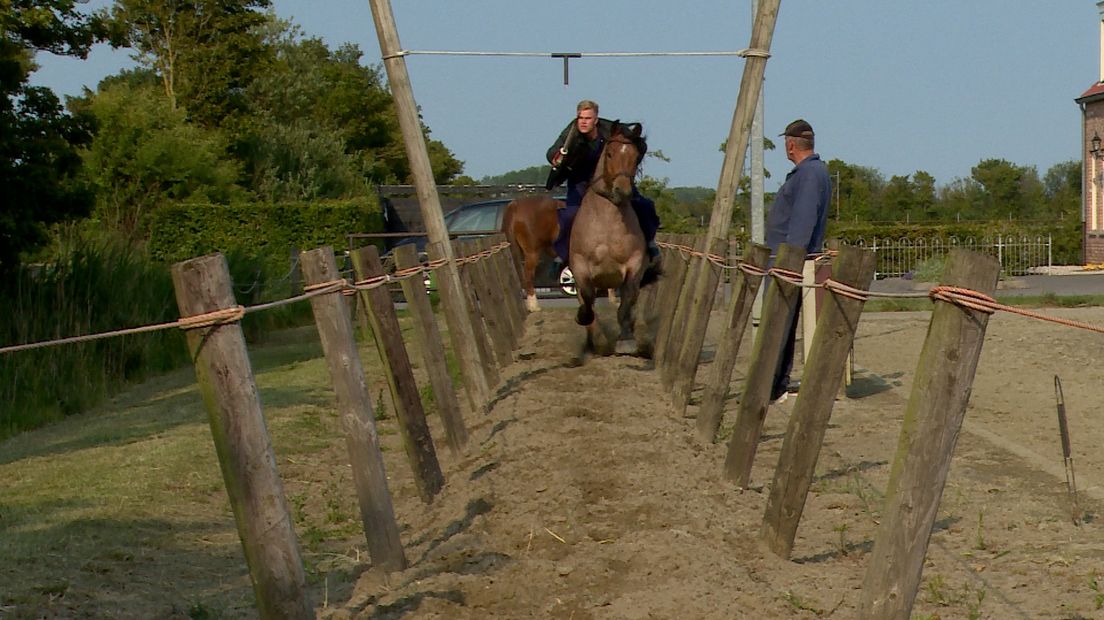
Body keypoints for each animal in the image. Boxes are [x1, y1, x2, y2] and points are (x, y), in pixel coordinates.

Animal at [569, 120, 653, 357]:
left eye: (636, 156)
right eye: (609, 153)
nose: (622, 191)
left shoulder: (634, 265)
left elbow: (627, 301)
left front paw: (626, 340)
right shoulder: (580, 265)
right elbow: (587, 298)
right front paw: (584, 318)